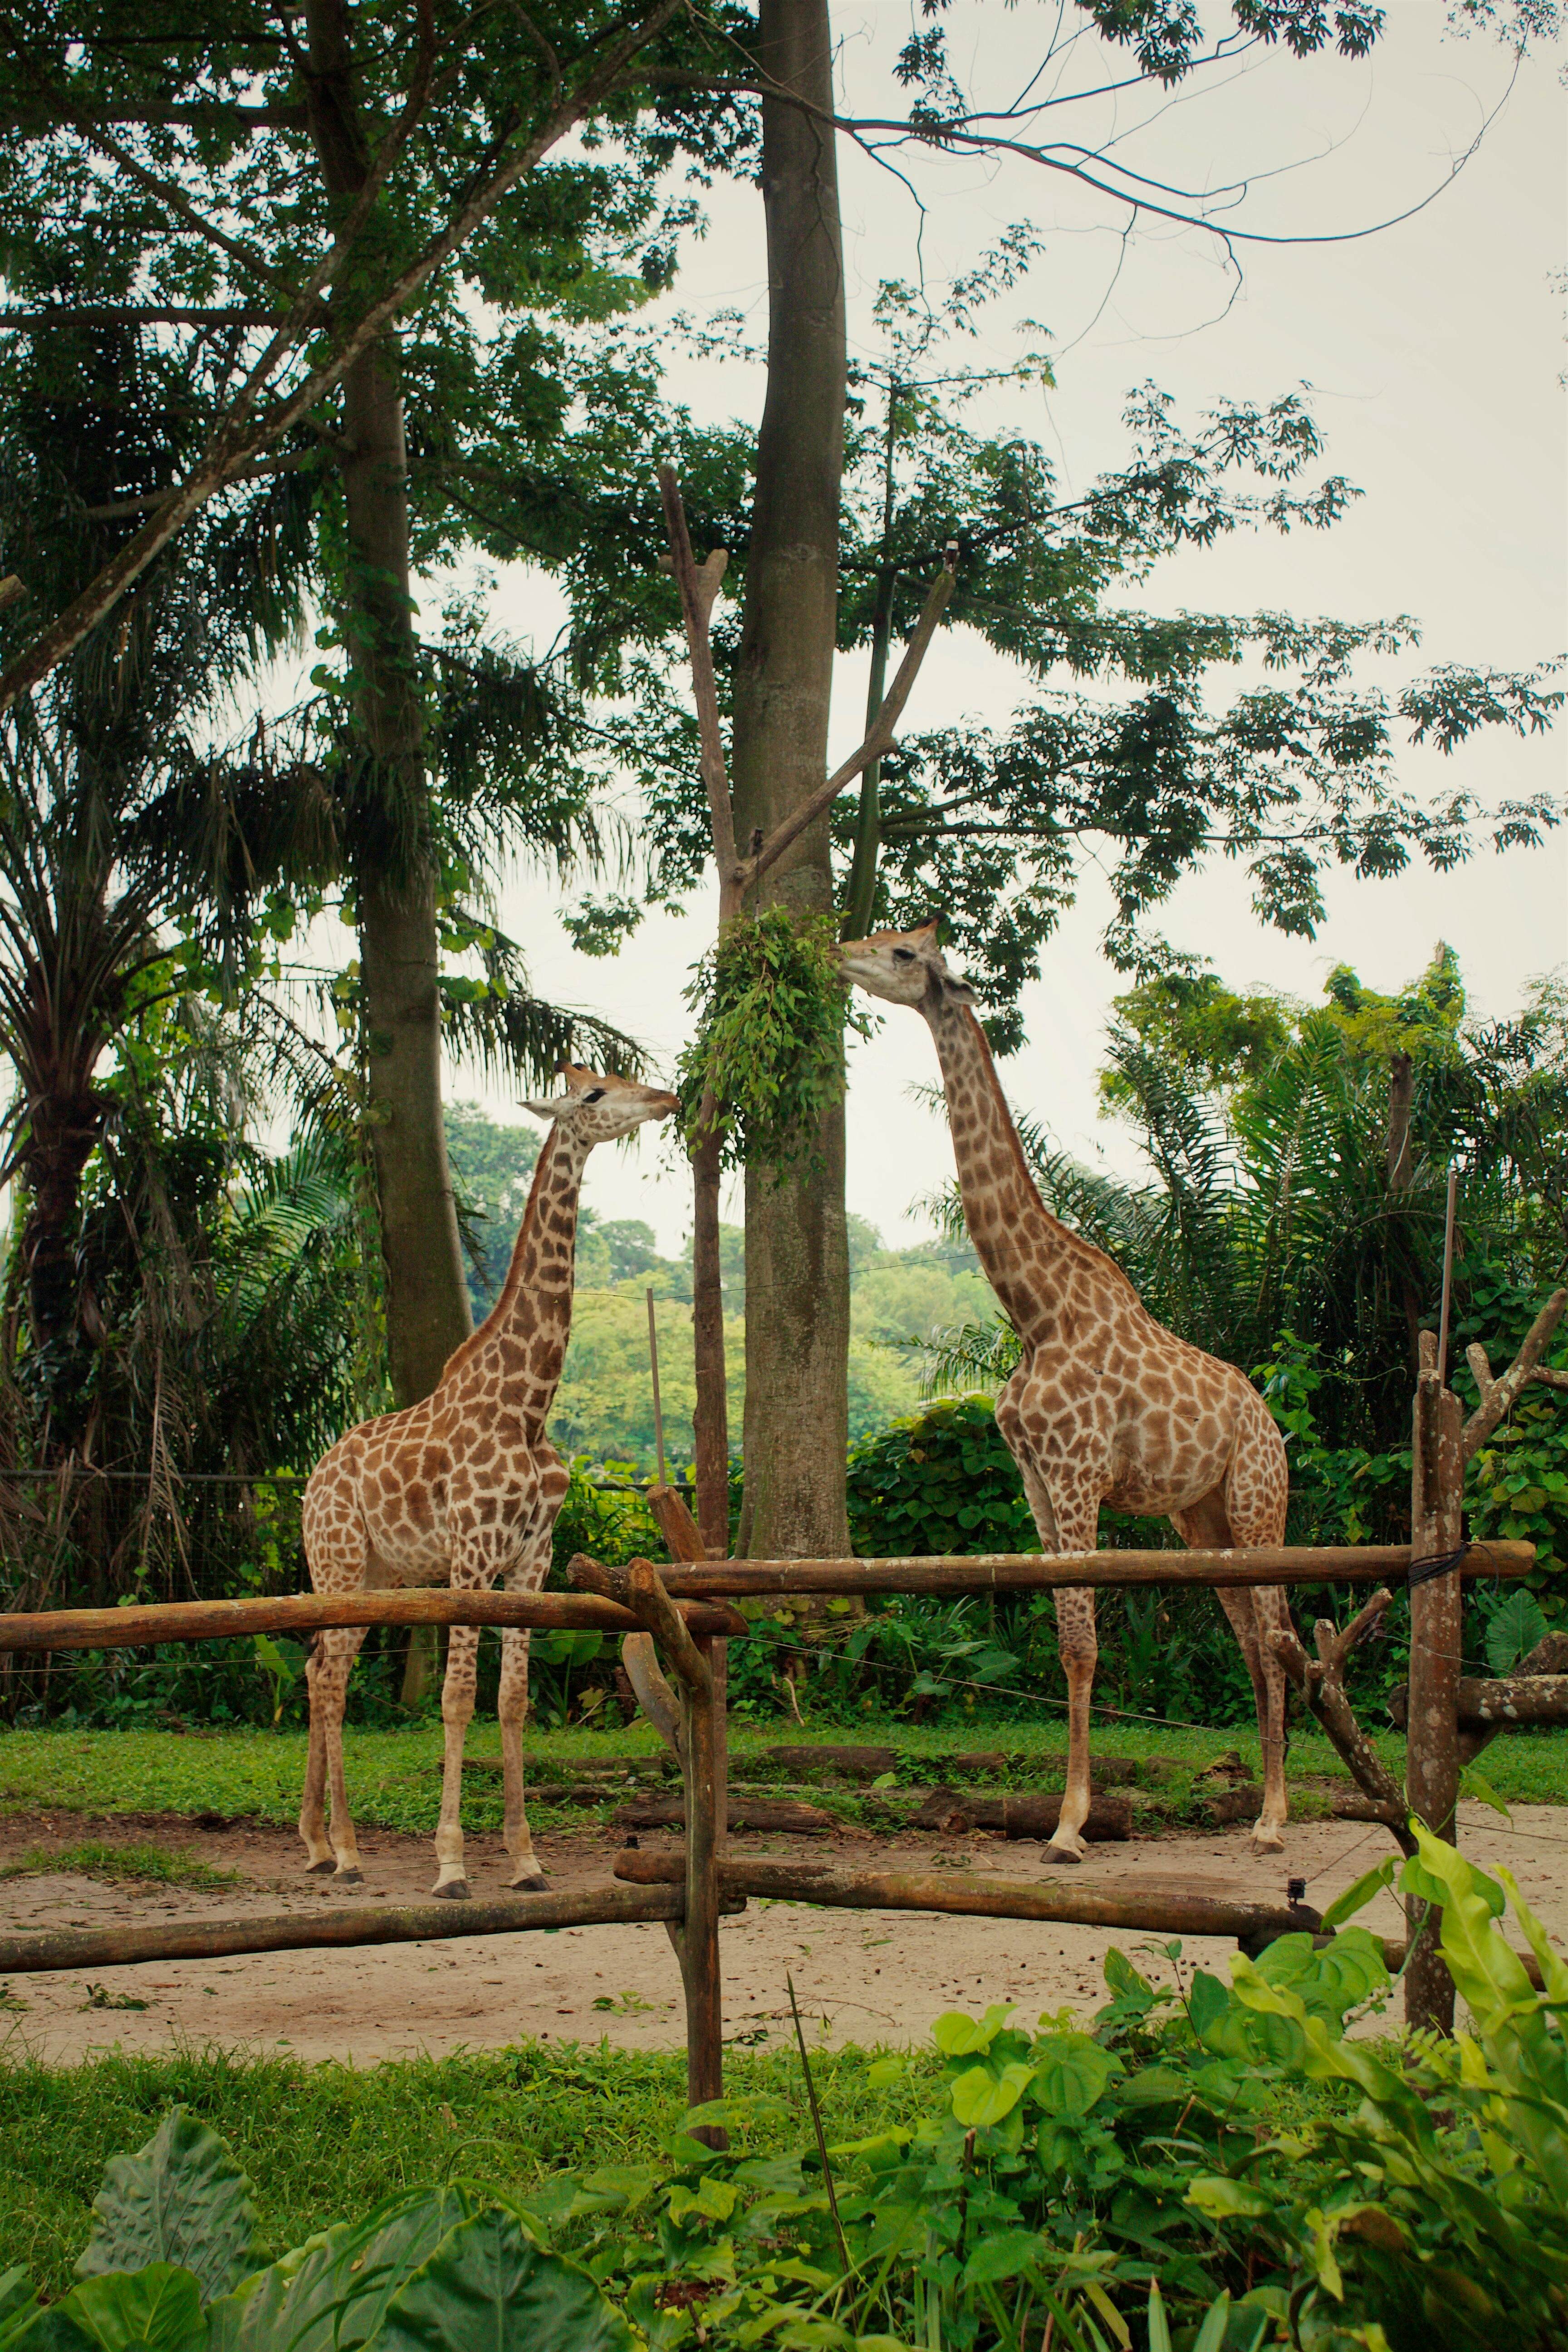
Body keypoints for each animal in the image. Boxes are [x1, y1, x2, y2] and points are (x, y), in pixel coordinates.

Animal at [301, 1068, 681, 1891]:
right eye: (594, 1093)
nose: (666, 1097)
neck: (529, 1406)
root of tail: (312, 1480)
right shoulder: (472, 1554)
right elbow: (455, 1698)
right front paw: (450, 1863)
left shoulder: (533, 1558)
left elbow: (510, 1699)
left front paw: (525, 1857)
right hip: (337, 1560)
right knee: (332, 1676)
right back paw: (346, 1851)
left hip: (378, 1573)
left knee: (319, 1666)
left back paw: (316, 1842)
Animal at [841, 926, 1298, 1862]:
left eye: (902, 951)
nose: (839, 952)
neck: (1035, 1310)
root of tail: (1268, 1419)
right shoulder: (1037, 1483)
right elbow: (1062, 1642)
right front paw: (1067, 1813)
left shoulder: (1080, 1471)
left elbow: (1086, 1645)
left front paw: (1069, 1825)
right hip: (1201, 1516)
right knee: (1247, 1632)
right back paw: (1263, 1807)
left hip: (1256, 1498)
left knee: (1274, 1634)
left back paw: (1274, 1819)